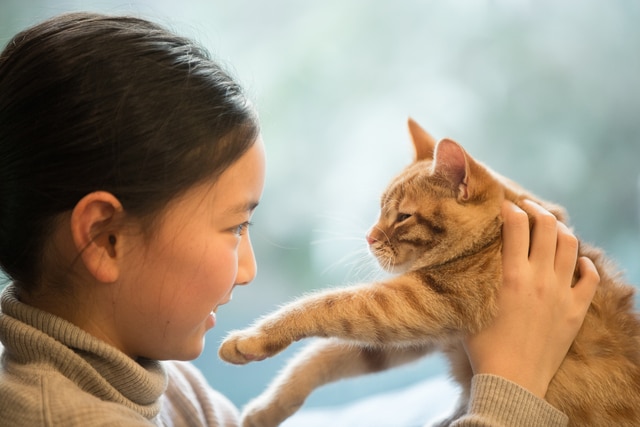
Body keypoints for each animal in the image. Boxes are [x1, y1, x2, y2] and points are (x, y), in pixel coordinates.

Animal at [219, 118, 640, 426]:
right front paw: (266, 410)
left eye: (403, 216)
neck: (496, 238)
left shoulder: (415, 301)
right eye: (380, 209)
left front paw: (252, 338)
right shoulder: (421, 331)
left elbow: (326, 306)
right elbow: (319, 358)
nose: (369, 236)